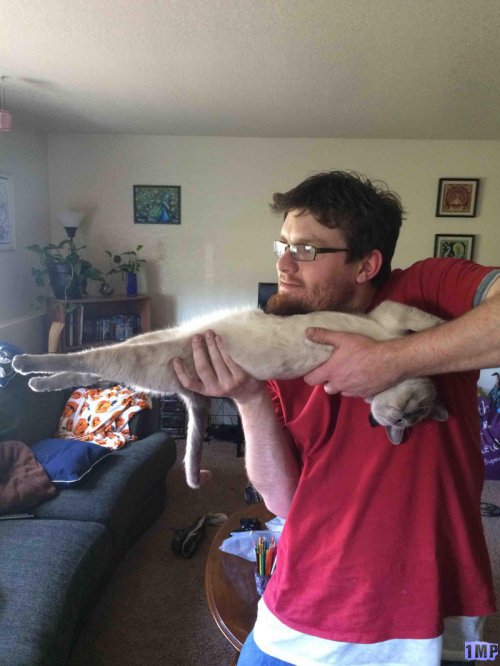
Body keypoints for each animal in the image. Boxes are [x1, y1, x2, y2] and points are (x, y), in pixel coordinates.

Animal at [12, 300, 448, 489]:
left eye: (411, 417)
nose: (405, 419)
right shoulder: (390, 315)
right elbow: (430, 322)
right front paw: (454, 323)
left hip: (141, 356)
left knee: (89, 369)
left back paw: (29, 375)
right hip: (144, 343)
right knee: (83, 360)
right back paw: (22, 365)